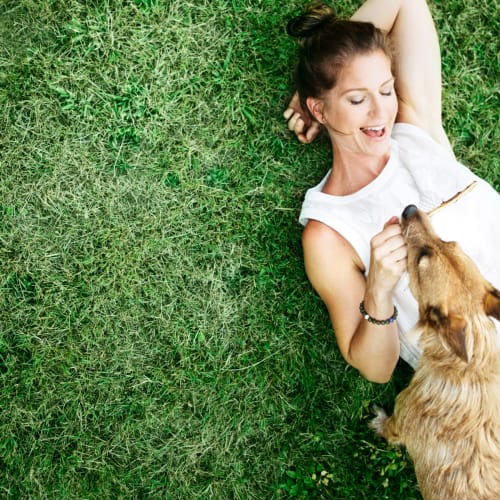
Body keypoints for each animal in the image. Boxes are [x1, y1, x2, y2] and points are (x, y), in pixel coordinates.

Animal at [370, 204, 500, 500]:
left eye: (420, 260)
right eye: (449, 241)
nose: (410, 208)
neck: (468, 365)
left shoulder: (401, 421)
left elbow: (388, 427)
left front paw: (378, 422)